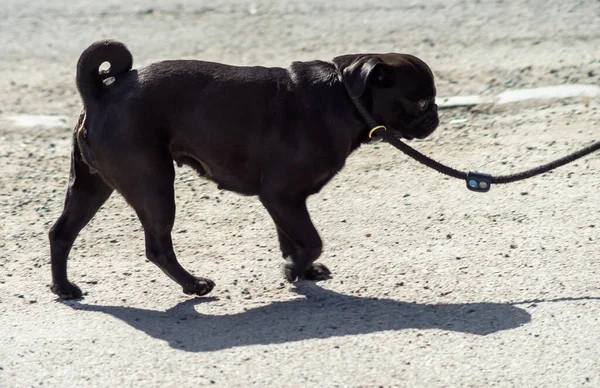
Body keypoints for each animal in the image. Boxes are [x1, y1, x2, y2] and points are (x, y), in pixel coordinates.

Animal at [49, 41, 438, 298]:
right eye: (421, 101)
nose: (435, 116)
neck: (344, 97)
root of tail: (99, 94)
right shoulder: (282, 195)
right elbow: (312, 240)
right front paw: (294, 269)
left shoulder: (285, 202)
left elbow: (291, 239)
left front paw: (301, 269)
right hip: (153, 185)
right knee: (157, 246)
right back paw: (193, 284)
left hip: (91, 186)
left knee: (61, 233)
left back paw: (63, 288)